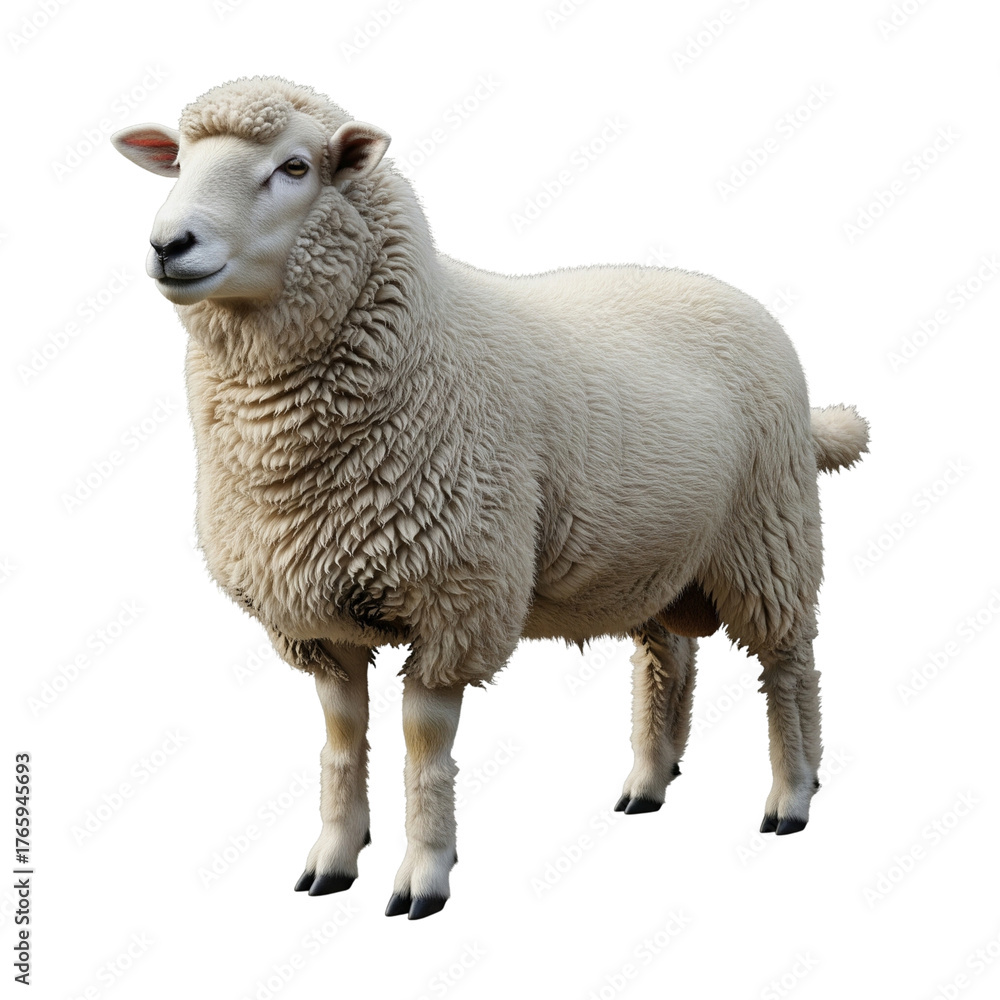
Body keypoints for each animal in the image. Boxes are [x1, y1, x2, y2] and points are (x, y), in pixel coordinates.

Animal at [112, 76, 869, 919]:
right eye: (179, 161)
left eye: (296, 167)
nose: (169, 244)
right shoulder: (318, 614)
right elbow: (341, 743)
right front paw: (334, 859)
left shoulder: (456, 598)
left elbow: (423, 748)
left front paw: (424, 874)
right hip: (655, 555)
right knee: (667, 657)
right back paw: (649, 780)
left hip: (770, 534)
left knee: (790, 665)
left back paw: (792, 794)